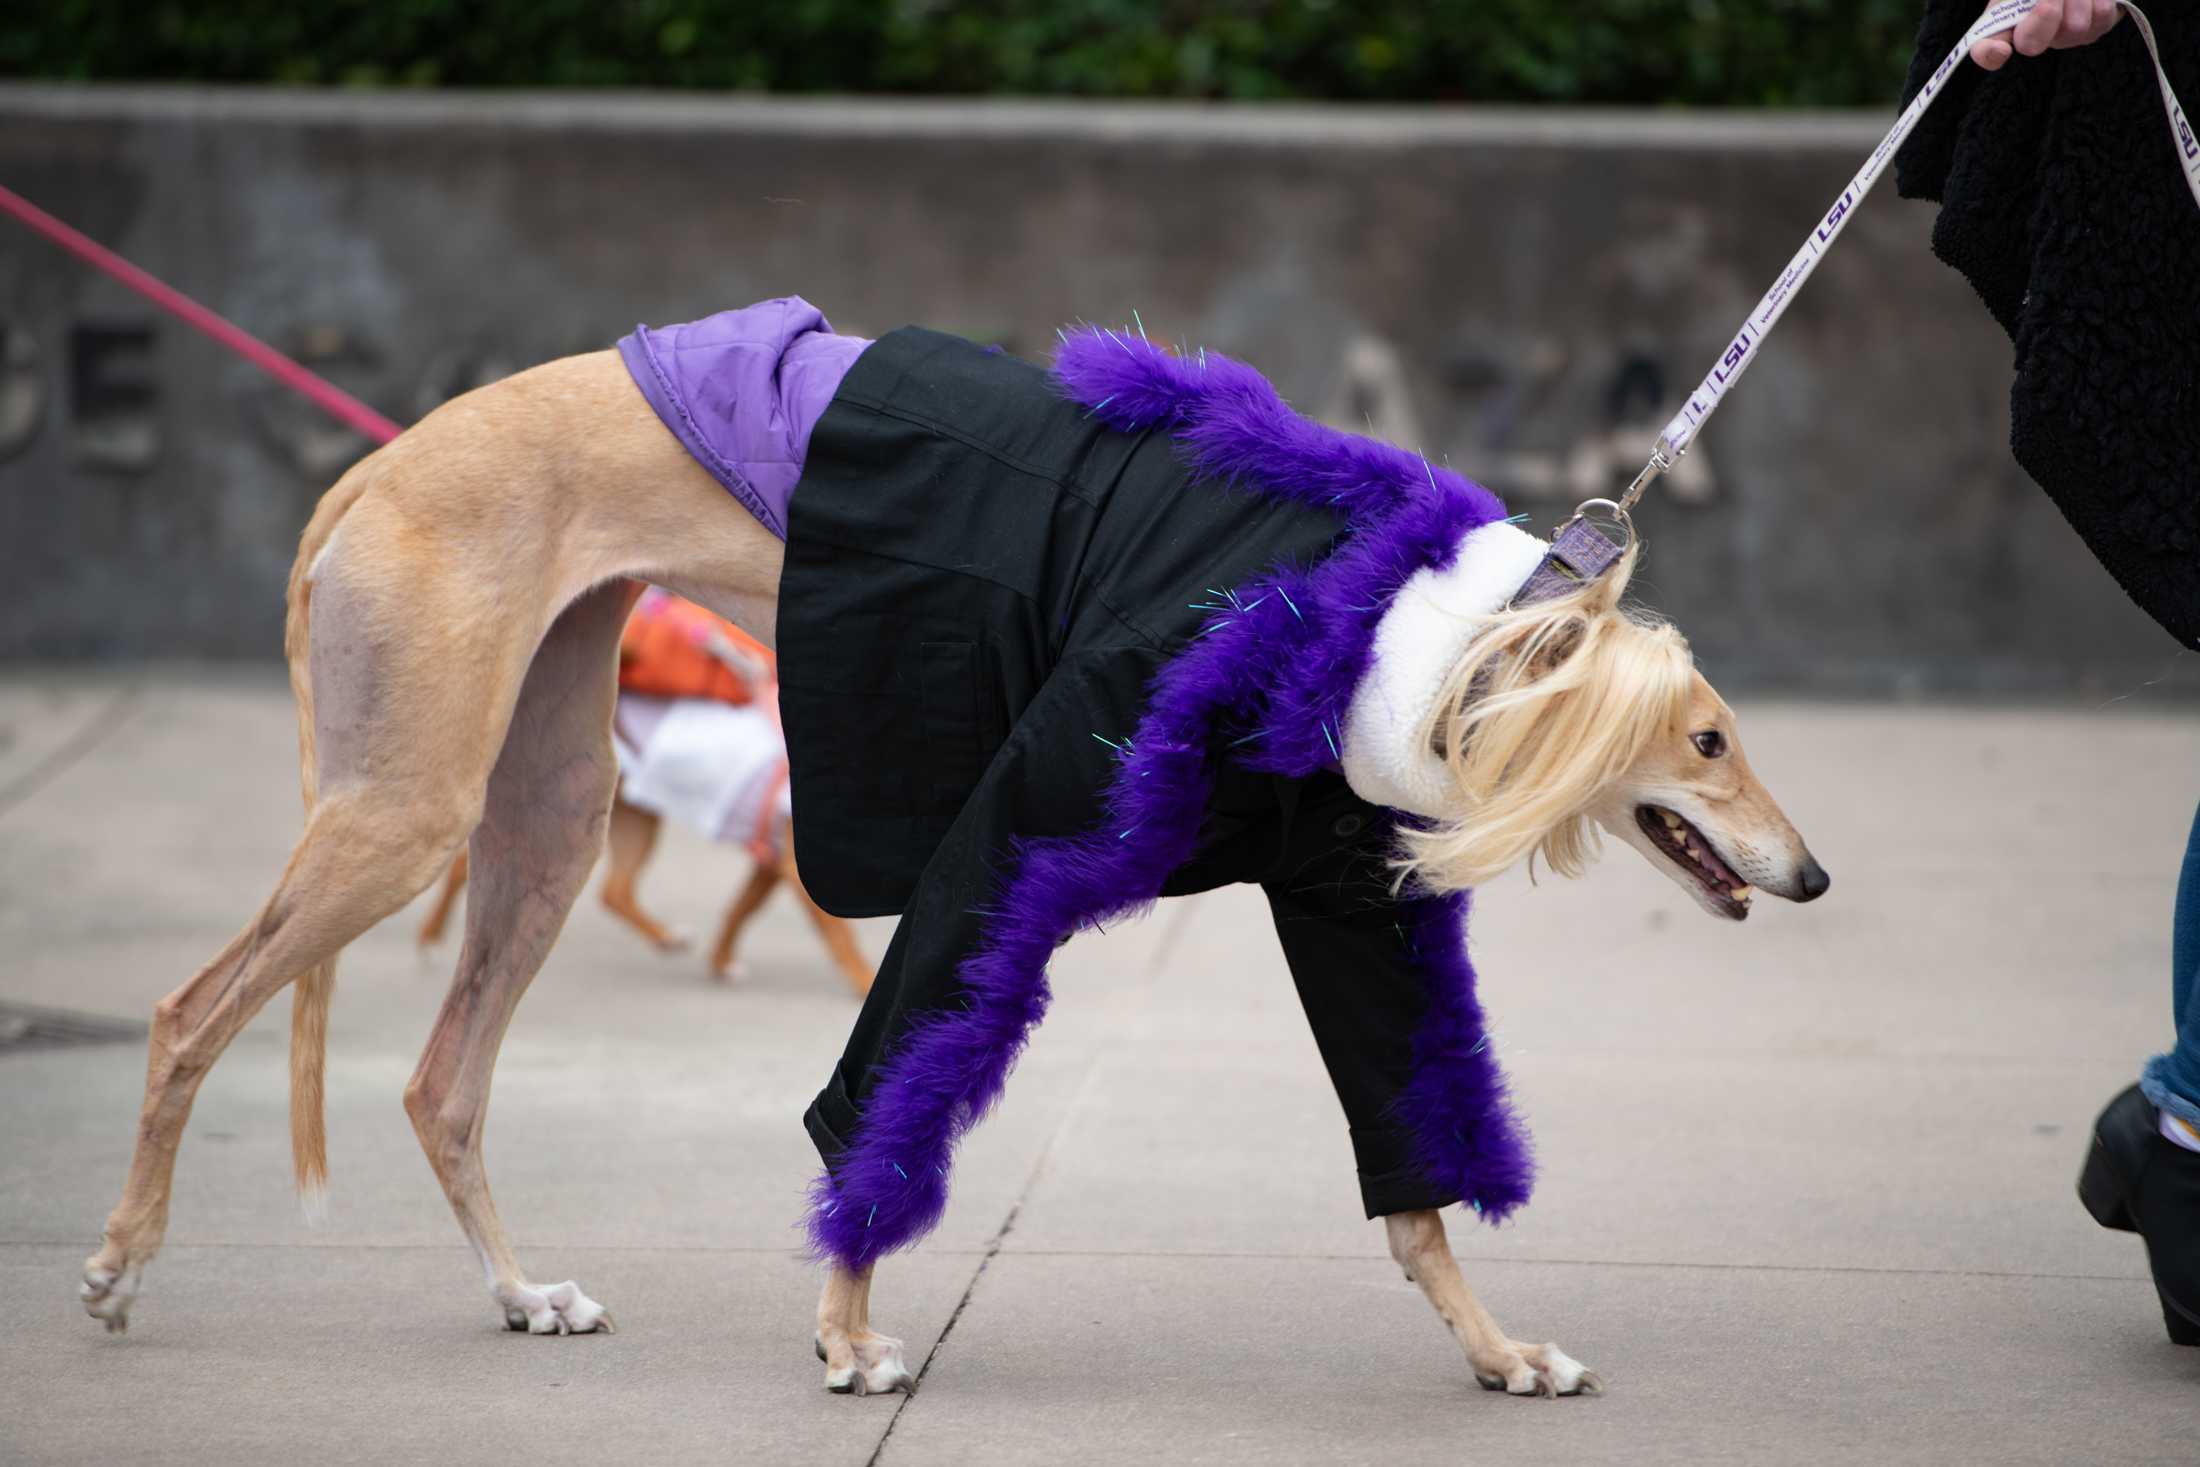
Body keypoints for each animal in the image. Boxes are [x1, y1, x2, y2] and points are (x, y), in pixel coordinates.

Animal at [77, 340, 1812, 1398]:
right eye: (1711, 740)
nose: (1810, 880)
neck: (1414, 627)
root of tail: (373, 473)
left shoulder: (1342, 898)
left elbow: (1415, 1174)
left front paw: (1501, 1348)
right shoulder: (1028, 814)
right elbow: (899, 1076)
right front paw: (846, 1332)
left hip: (549, 806)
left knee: (442, 1078)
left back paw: (522, 1291)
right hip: (409, 805)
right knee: (184, 1010)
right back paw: (118, 1264)